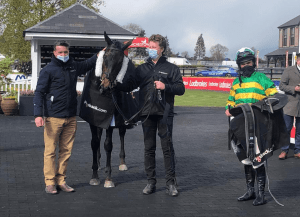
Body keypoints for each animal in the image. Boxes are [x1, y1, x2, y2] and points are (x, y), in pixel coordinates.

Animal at [78, 32, 137, 188]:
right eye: (104, 57)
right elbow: (94, 142)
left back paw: (122, 162)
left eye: (120, 60)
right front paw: (94, 175)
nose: (105, 86)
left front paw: (108, 178)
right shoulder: (93, 118)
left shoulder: (111, 118)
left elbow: (108, 145)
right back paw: (99, 163)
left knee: (121, 133)